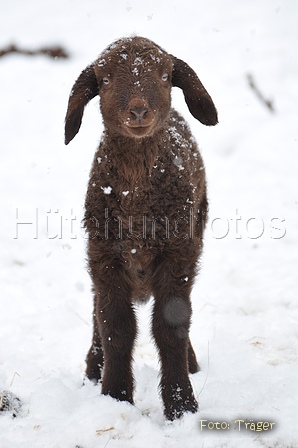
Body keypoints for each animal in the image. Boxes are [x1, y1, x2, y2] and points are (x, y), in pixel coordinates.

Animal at [64, 35, 218, 420]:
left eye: (165, 76)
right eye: (104, 80)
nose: (137, 111)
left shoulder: (178, 254)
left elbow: (171, 326)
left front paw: (181, 406)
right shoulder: (105, 255)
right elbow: (116, 326)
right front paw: (115, 395)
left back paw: (192, 363)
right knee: (96, 309)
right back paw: (93, 368)